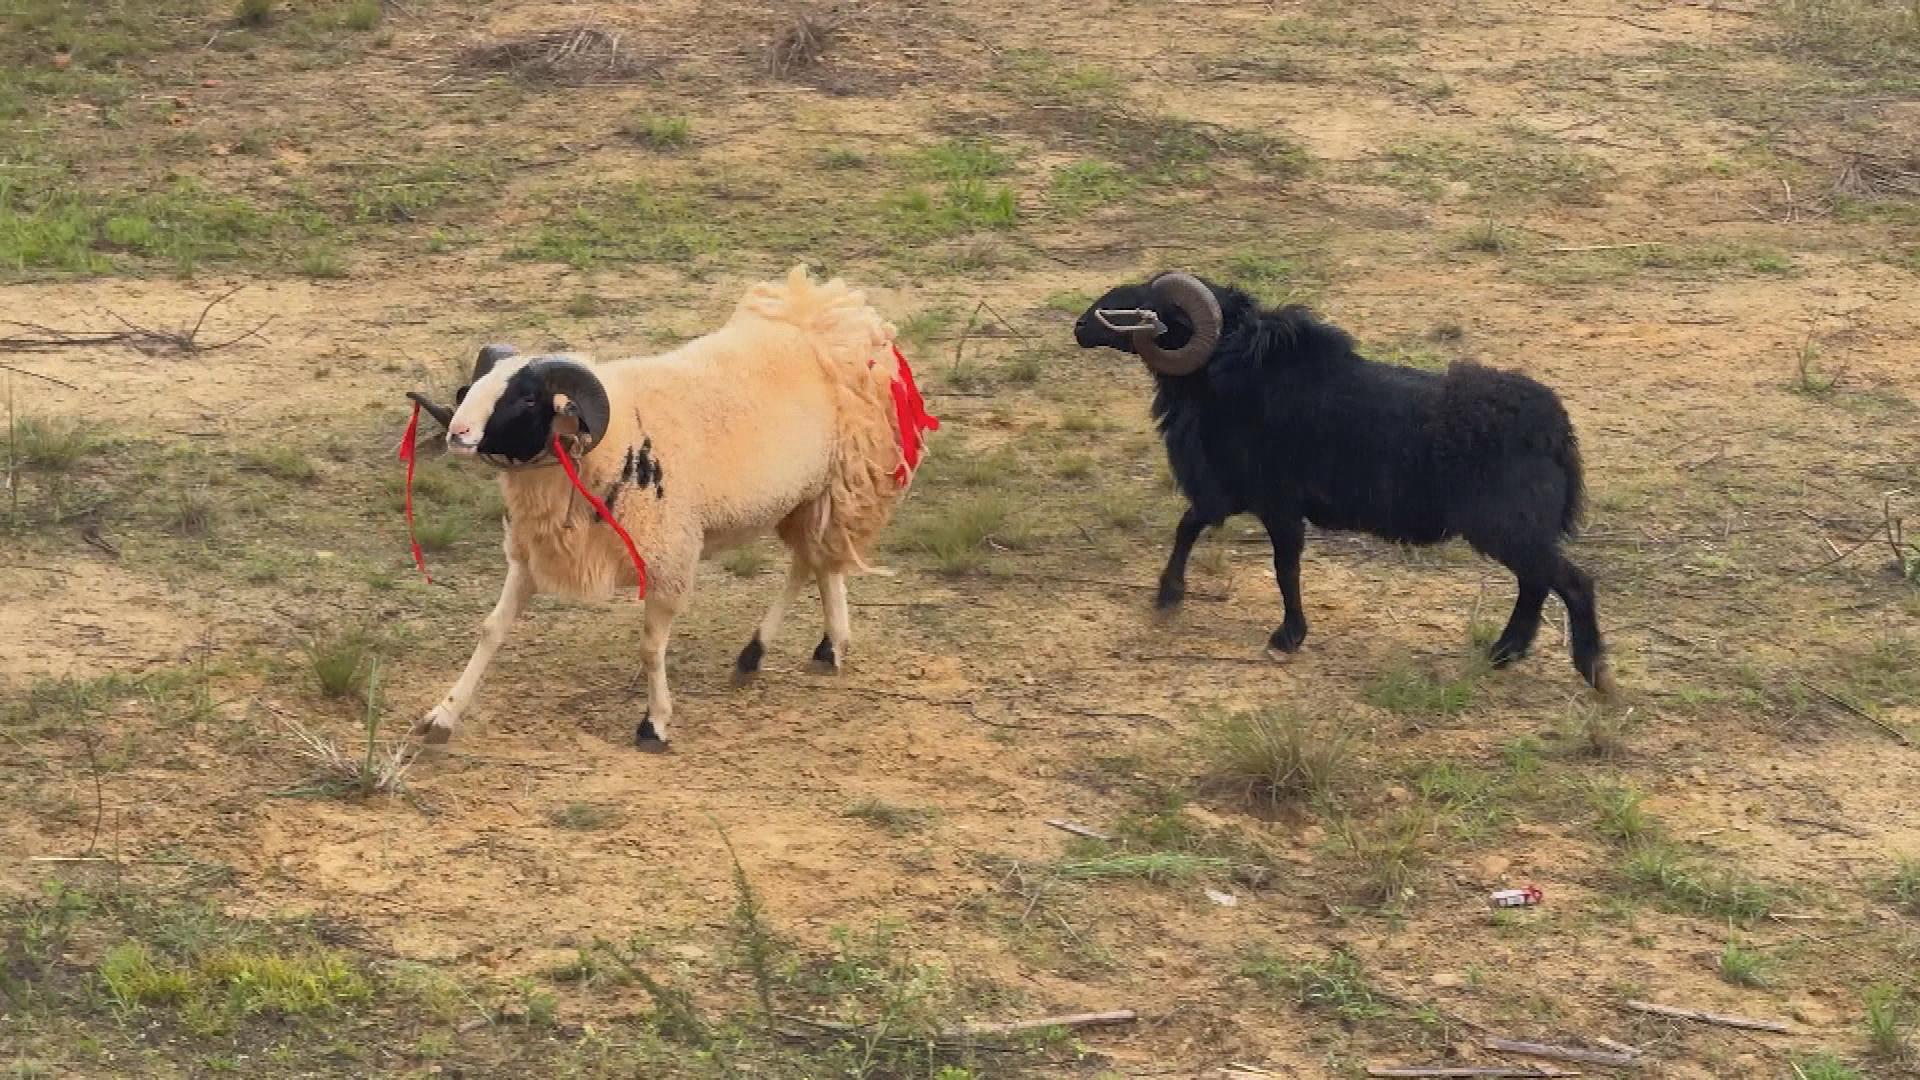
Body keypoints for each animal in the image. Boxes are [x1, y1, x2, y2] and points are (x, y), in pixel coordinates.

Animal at [401, 264, 939, 750]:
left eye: (527, 397)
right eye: (477, 385)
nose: (457, 434)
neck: (615, 439)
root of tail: (829, 314)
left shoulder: (669, 560)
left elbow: (649, 647)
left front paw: (654, 724)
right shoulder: (533, 553)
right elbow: (491, 629)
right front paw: (442, 716)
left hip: (838, 481)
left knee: (816, 561)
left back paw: (782, 649)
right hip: (808, 494)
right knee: (818, 563)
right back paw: (808, 649)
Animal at [1072, 271, 1611, 692]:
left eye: (1152, 307)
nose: (1080, 325)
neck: (1227, 373)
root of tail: (1555, 430)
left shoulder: (1275, 502)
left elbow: (1284, 568)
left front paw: (1287, 636)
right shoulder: (1229, 492)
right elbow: (1188, 527)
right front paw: (1169, 596)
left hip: (1508, 526)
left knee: (1570, 582)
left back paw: (1592, 670)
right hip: (1516, 531)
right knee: (1536, 583)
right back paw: (1504, 654)